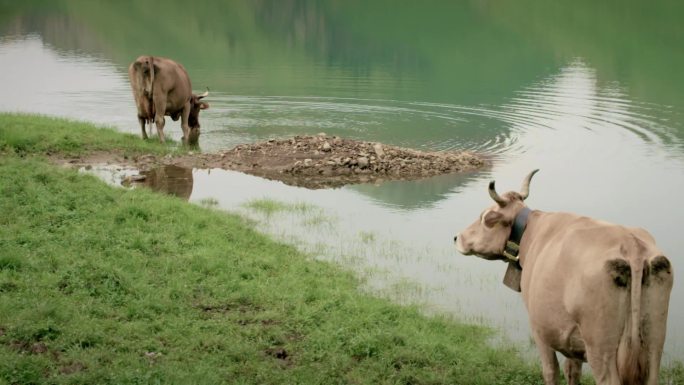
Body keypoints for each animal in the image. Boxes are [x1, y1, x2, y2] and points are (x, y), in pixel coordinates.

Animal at [454, 170, 672, 384]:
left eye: (485, 218)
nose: (457, 237)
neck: (531, 233)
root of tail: (631, 245)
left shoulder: (539, 330)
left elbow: (551, 371)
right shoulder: (572, 339)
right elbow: (572, 371)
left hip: (601, 349)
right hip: (654, 344)